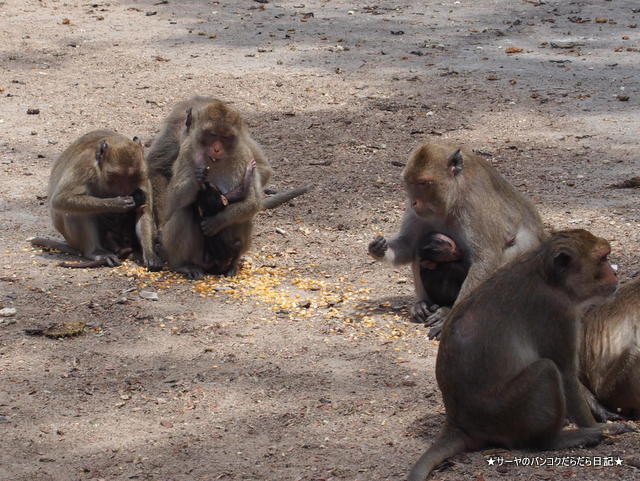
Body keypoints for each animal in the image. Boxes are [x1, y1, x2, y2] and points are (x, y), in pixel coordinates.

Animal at [29, 129, 161, 270]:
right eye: (116, 176)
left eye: (132, 176)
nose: (124, 190)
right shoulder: (84, 166)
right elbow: (61, 199)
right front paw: (116, 203)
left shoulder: (143, 174)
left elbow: (143, 210)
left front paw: (149, 254)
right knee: (74, 211)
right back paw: (95, 252)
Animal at [370, 141, 544, 332]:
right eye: (410, 183)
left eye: (423, 183)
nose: (414, 201)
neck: (453, 199)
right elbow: (409, 245)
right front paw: (378, 248)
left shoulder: (474, 205)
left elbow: (485, 258)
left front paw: (449, 316)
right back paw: (423, 304)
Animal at [408, 230, 632, 480]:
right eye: (603, 258)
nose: (615, 272)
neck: (550, 280)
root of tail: (458, 422)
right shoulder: (555, 312)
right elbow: (565, 373)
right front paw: (597, 426)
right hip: (503, 414)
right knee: (546, 370)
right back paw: (555, 439)